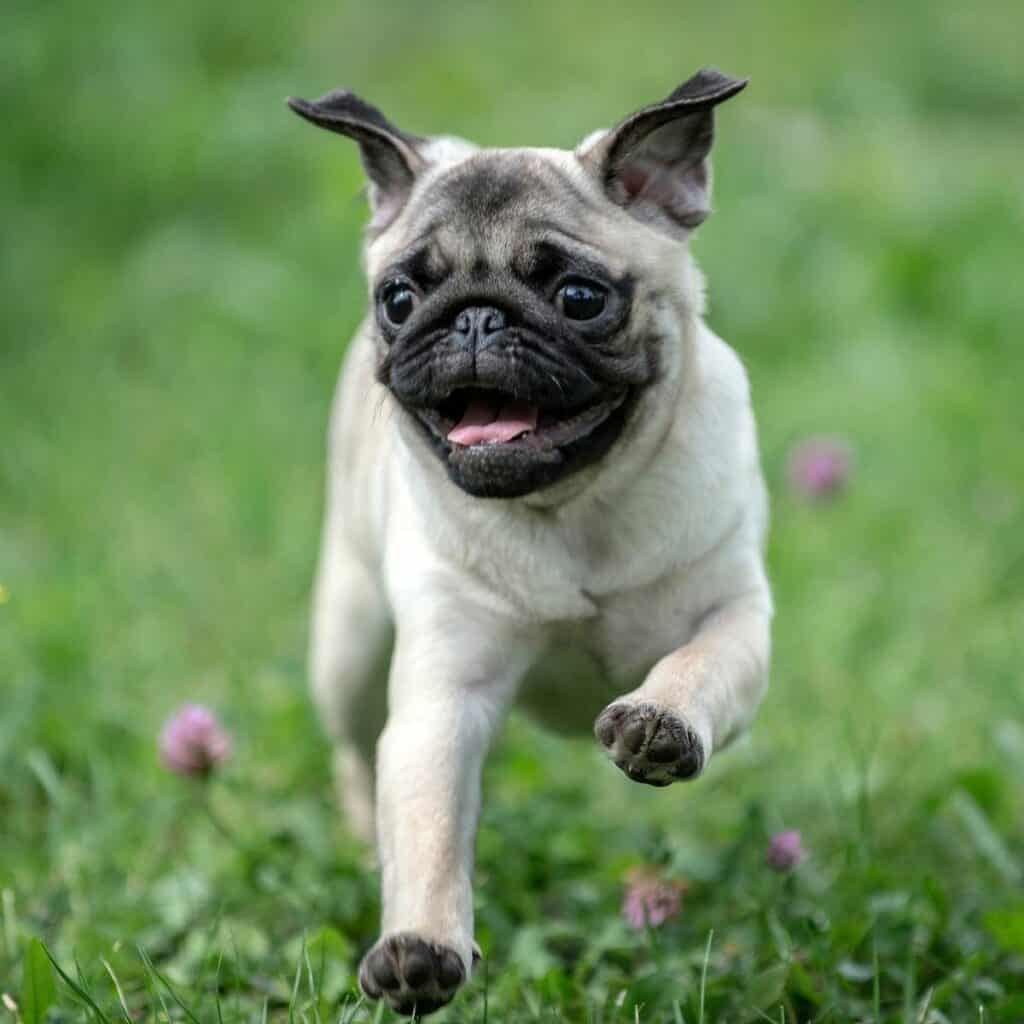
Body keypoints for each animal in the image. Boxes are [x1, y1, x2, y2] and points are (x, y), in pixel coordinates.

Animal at [288, 68, 770, 1019]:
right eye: (400, 300)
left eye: (579, 297)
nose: (473, 319)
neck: (574, 510)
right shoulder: (443, 699)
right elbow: (429, 827)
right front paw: (420, 946)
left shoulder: (737, 611)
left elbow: (701, 662)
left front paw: (660, 721)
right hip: (349, 648)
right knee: (358, 755)